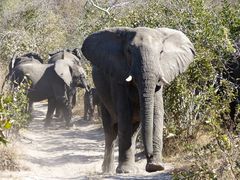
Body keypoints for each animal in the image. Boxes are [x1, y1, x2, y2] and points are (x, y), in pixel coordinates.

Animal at [81, 26, 196, 173]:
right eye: (129, 52)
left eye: (161, 52)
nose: (149, 155)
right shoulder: (118, 77)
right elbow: (125, 114)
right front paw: (125, 171)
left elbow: (157, 114)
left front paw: (156, 166)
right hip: (103, 97)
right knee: (110, 131)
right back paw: (109, 170)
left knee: (133, 130)